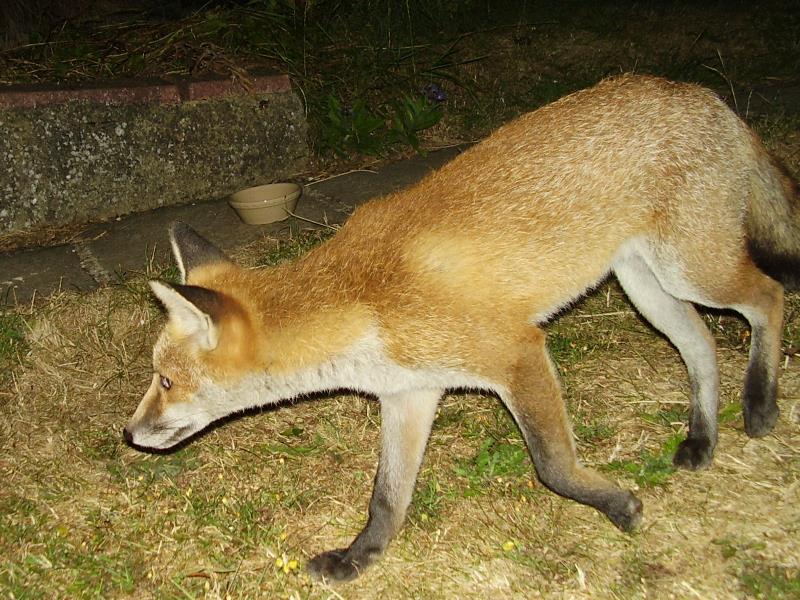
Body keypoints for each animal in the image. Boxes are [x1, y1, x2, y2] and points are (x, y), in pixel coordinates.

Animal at [122, 74, 796, 580]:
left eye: (165, 382)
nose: (128, 432)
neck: (363, 301)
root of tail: (697, 92)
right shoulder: (411, 393)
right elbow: (387, 497)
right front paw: (359, 560)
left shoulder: (518, 352)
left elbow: (551, 466)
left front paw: (618, 505)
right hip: (646, 285)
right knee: (703, 344)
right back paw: (703, 438)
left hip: (695, 270)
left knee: (769, 297)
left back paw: (760, 403)